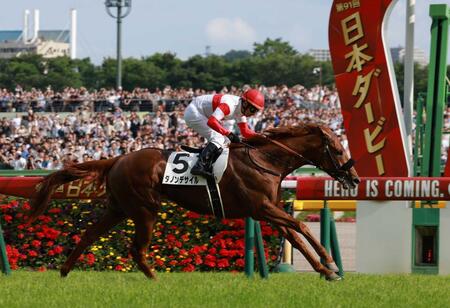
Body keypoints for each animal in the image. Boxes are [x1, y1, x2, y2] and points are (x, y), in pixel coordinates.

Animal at [27, 122, 358, 280]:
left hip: (119, 207)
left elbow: (297, 237)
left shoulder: (268, 211)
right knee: (136, 249)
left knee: (89, 235)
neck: (265, 160)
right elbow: (302, 229)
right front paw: (330, 263)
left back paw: (65, 271)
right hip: (145, 208)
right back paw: (155, 279)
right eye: (338, 149)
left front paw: (327, 271)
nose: (354, 179)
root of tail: (118, 158)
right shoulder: (262, 207)